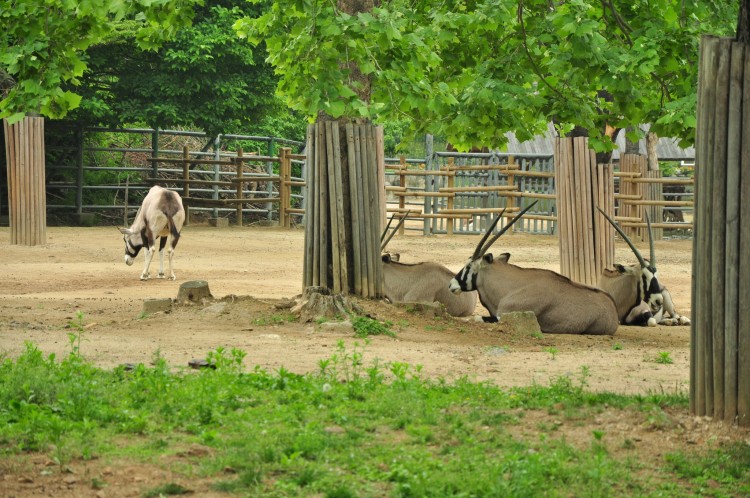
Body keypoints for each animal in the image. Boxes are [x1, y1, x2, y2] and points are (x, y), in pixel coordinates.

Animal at [450, 202, 620, 334]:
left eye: (468, 265)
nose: (451, 285)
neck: (509, 288)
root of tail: (614, 311)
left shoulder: (506, 316)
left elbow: (474, 318)